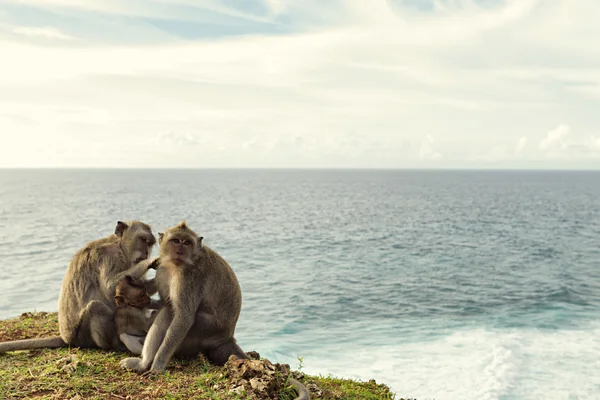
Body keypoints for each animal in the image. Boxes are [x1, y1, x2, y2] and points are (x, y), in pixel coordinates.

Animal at [0, 219, 158, 354]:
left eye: (150, 243)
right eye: (143, 240)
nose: (146, 253)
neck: (118, 245)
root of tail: (67, 339)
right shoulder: (108, 256)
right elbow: (111, 288)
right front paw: (150, 262)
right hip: (82, 336)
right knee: (96, 307)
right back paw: (114, 346)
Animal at [120, 222, 312, 400]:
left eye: (186, 242)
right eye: (175, 241)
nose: (180, 250)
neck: (177, 265)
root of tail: (228, 336)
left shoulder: (190, 278)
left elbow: (183, 317)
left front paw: (158, 367)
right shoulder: (163, 269)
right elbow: (166, 303)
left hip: (207, 329)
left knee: (173, 313)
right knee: (168, 309)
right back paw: (143, 363)